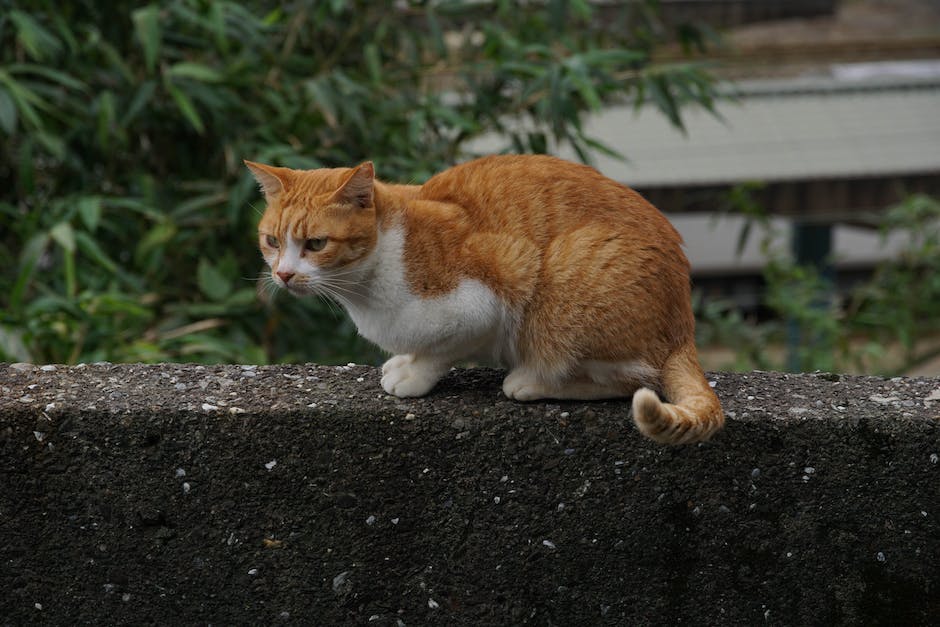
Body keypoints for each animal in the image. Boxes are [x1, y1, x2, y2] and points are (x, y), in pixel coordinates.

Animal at [246, 154, 724, 444]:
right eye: (272, 241)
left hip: (563, 287)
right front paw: (402, 362)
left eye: (315, 244)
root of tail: (683, 324)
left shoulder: (486, 300)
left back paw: (532, 381)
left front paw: (413, 376)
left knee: (629, 379)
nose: (283, 274)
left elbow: (440, 353)